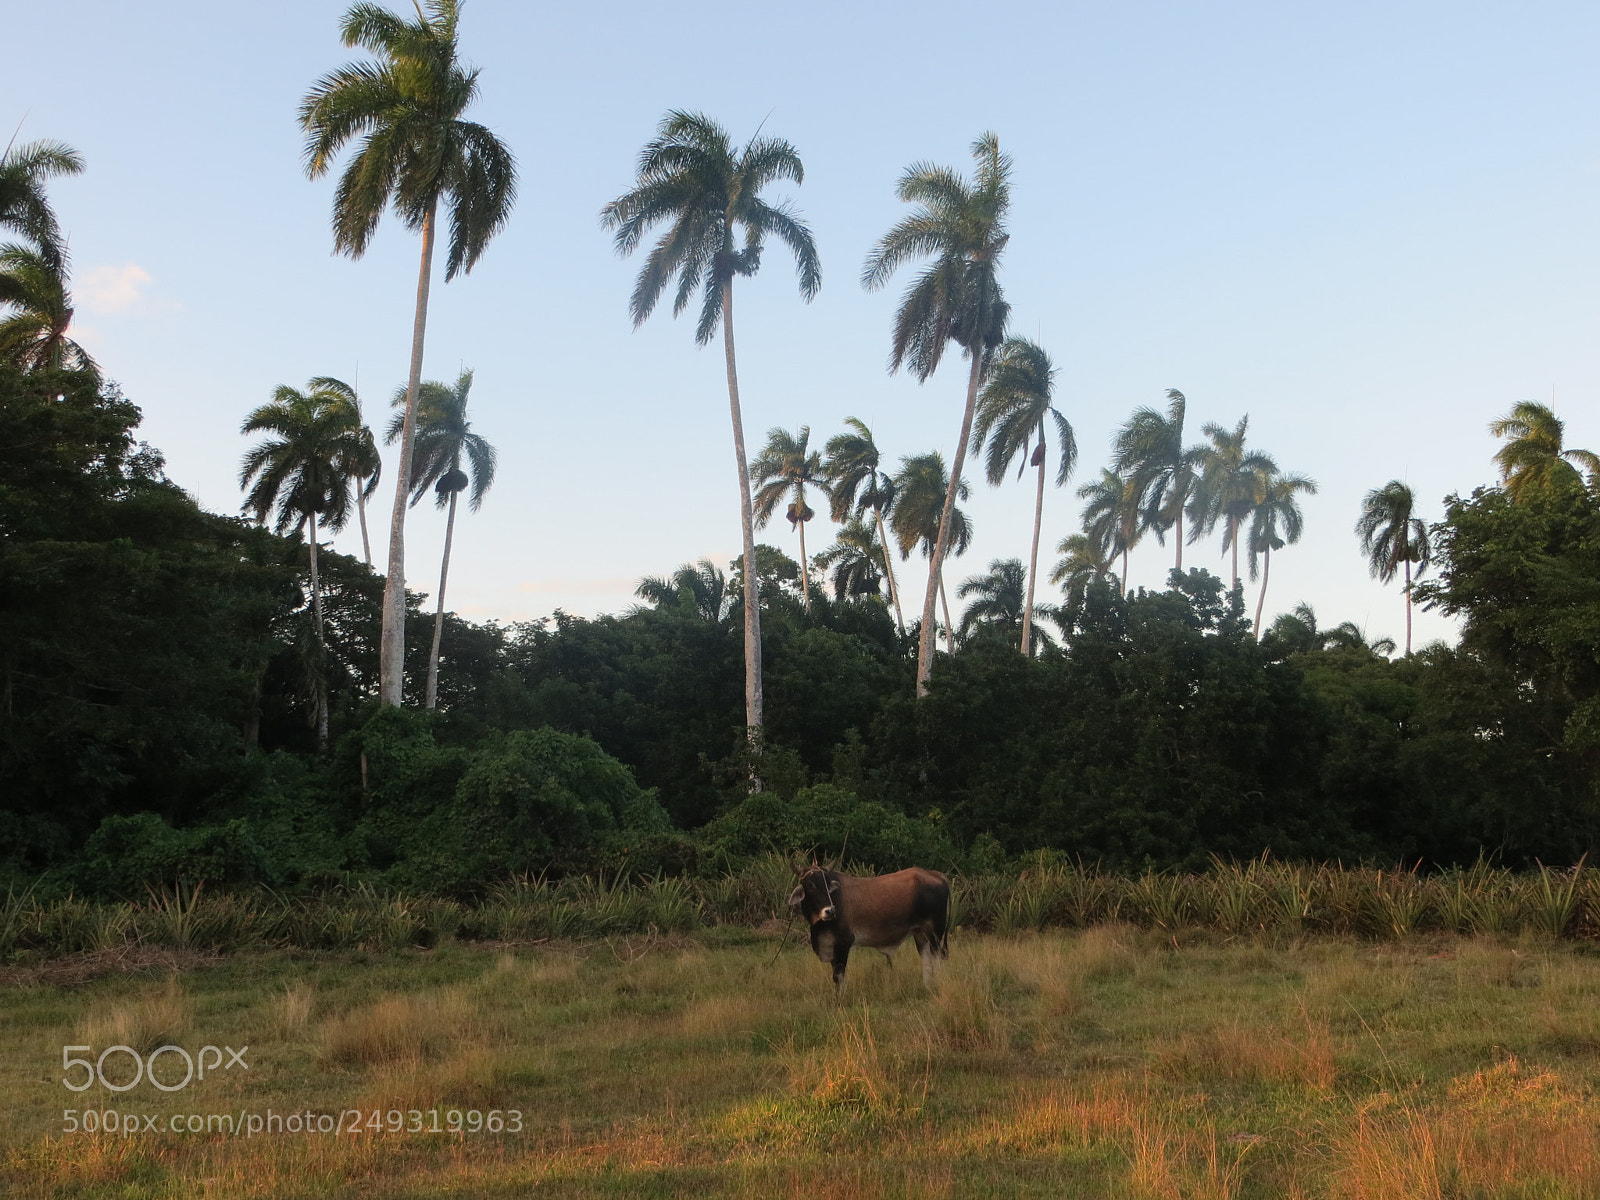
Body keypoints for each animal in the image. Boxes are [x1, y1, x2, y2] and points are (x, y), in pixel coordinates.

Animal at [787, 864, 947, 998]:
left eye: (827, 885)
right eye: (810, 885)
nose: (830, 911)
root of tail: (936, 875)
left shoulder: (843, 945)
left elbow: (838, 976)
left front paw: (840, 999)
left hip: (935, 933)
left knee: (936, 960)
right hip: (920, 934)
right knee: (926, 960)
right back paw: (927, 986)